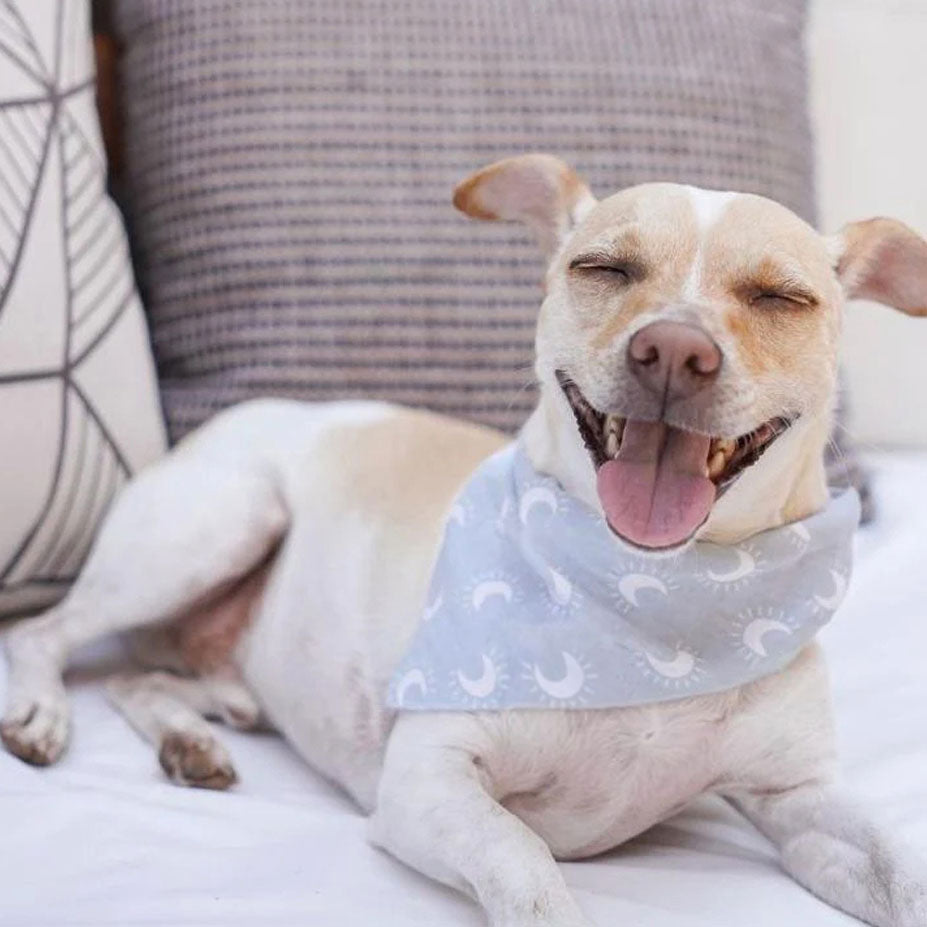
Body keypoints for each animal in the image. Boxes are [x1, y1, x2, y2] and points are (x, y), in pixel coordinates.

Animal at [1, 152, 927, 927]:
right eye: (602, 268)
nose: (672, 350)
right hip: (223, 520)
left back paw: (191, 735)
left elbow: (897, 868)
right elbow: (524, 862)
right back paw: (46, 710)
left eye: (779, 297)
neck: (651, 605)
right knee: (44, 634)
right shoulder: (427, 782)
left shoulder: (800, 797)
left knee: (134, 678)